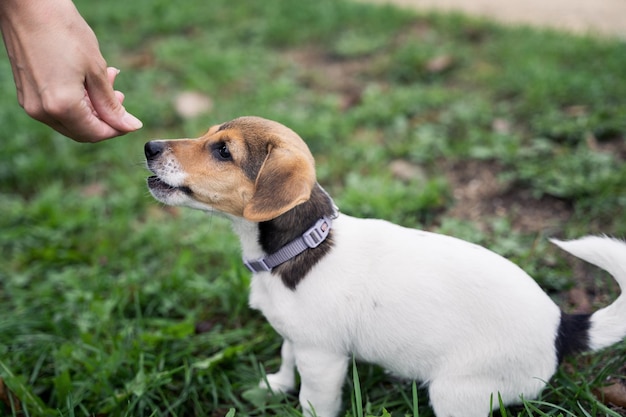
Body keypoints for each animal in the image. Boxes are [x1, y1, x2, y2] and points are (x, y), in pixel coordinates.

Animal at [146, 114, 624, 416]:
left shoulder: (323, 358)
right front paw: (277, 385)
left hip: (458, 393)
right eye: (208, 135)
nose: (149, 145)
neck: (298, 247)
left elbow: (313, 401)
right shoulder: (297, 338)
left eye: (223, 151)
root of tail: (562, 325)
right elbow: (286, 356)